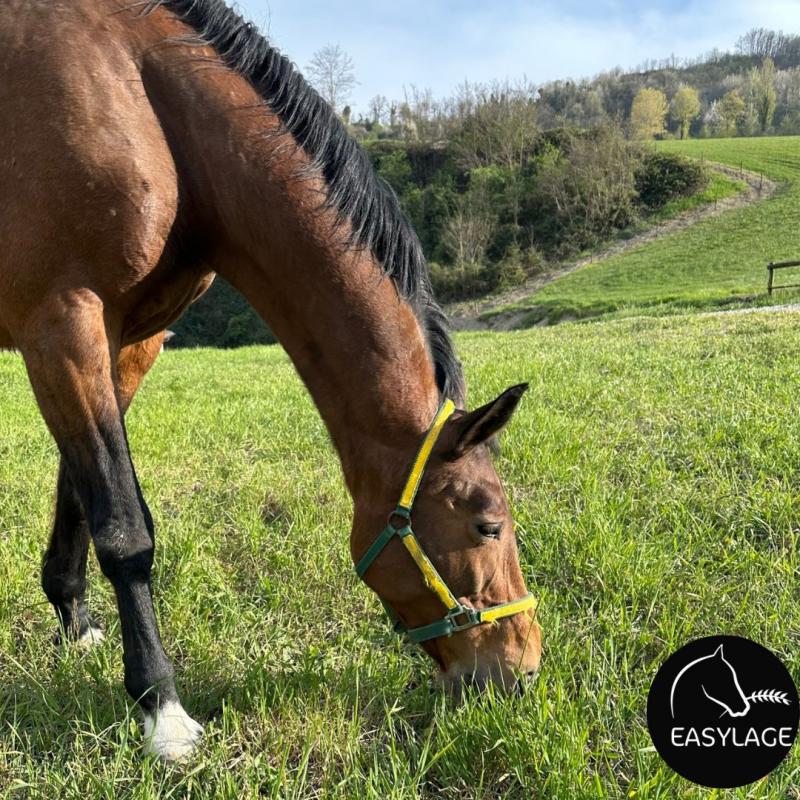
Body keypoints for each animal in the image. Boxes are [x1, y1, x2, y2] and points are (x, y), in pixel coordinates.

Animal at [0, 0, 540, 764]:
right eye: (487, 524)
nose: (522, 666)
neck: (136, 94)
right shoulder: (62, 324)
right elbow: (125, 527)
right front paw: (161, 709)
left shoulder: (127, 338)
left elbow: (79, 491)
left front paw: (74, 619)